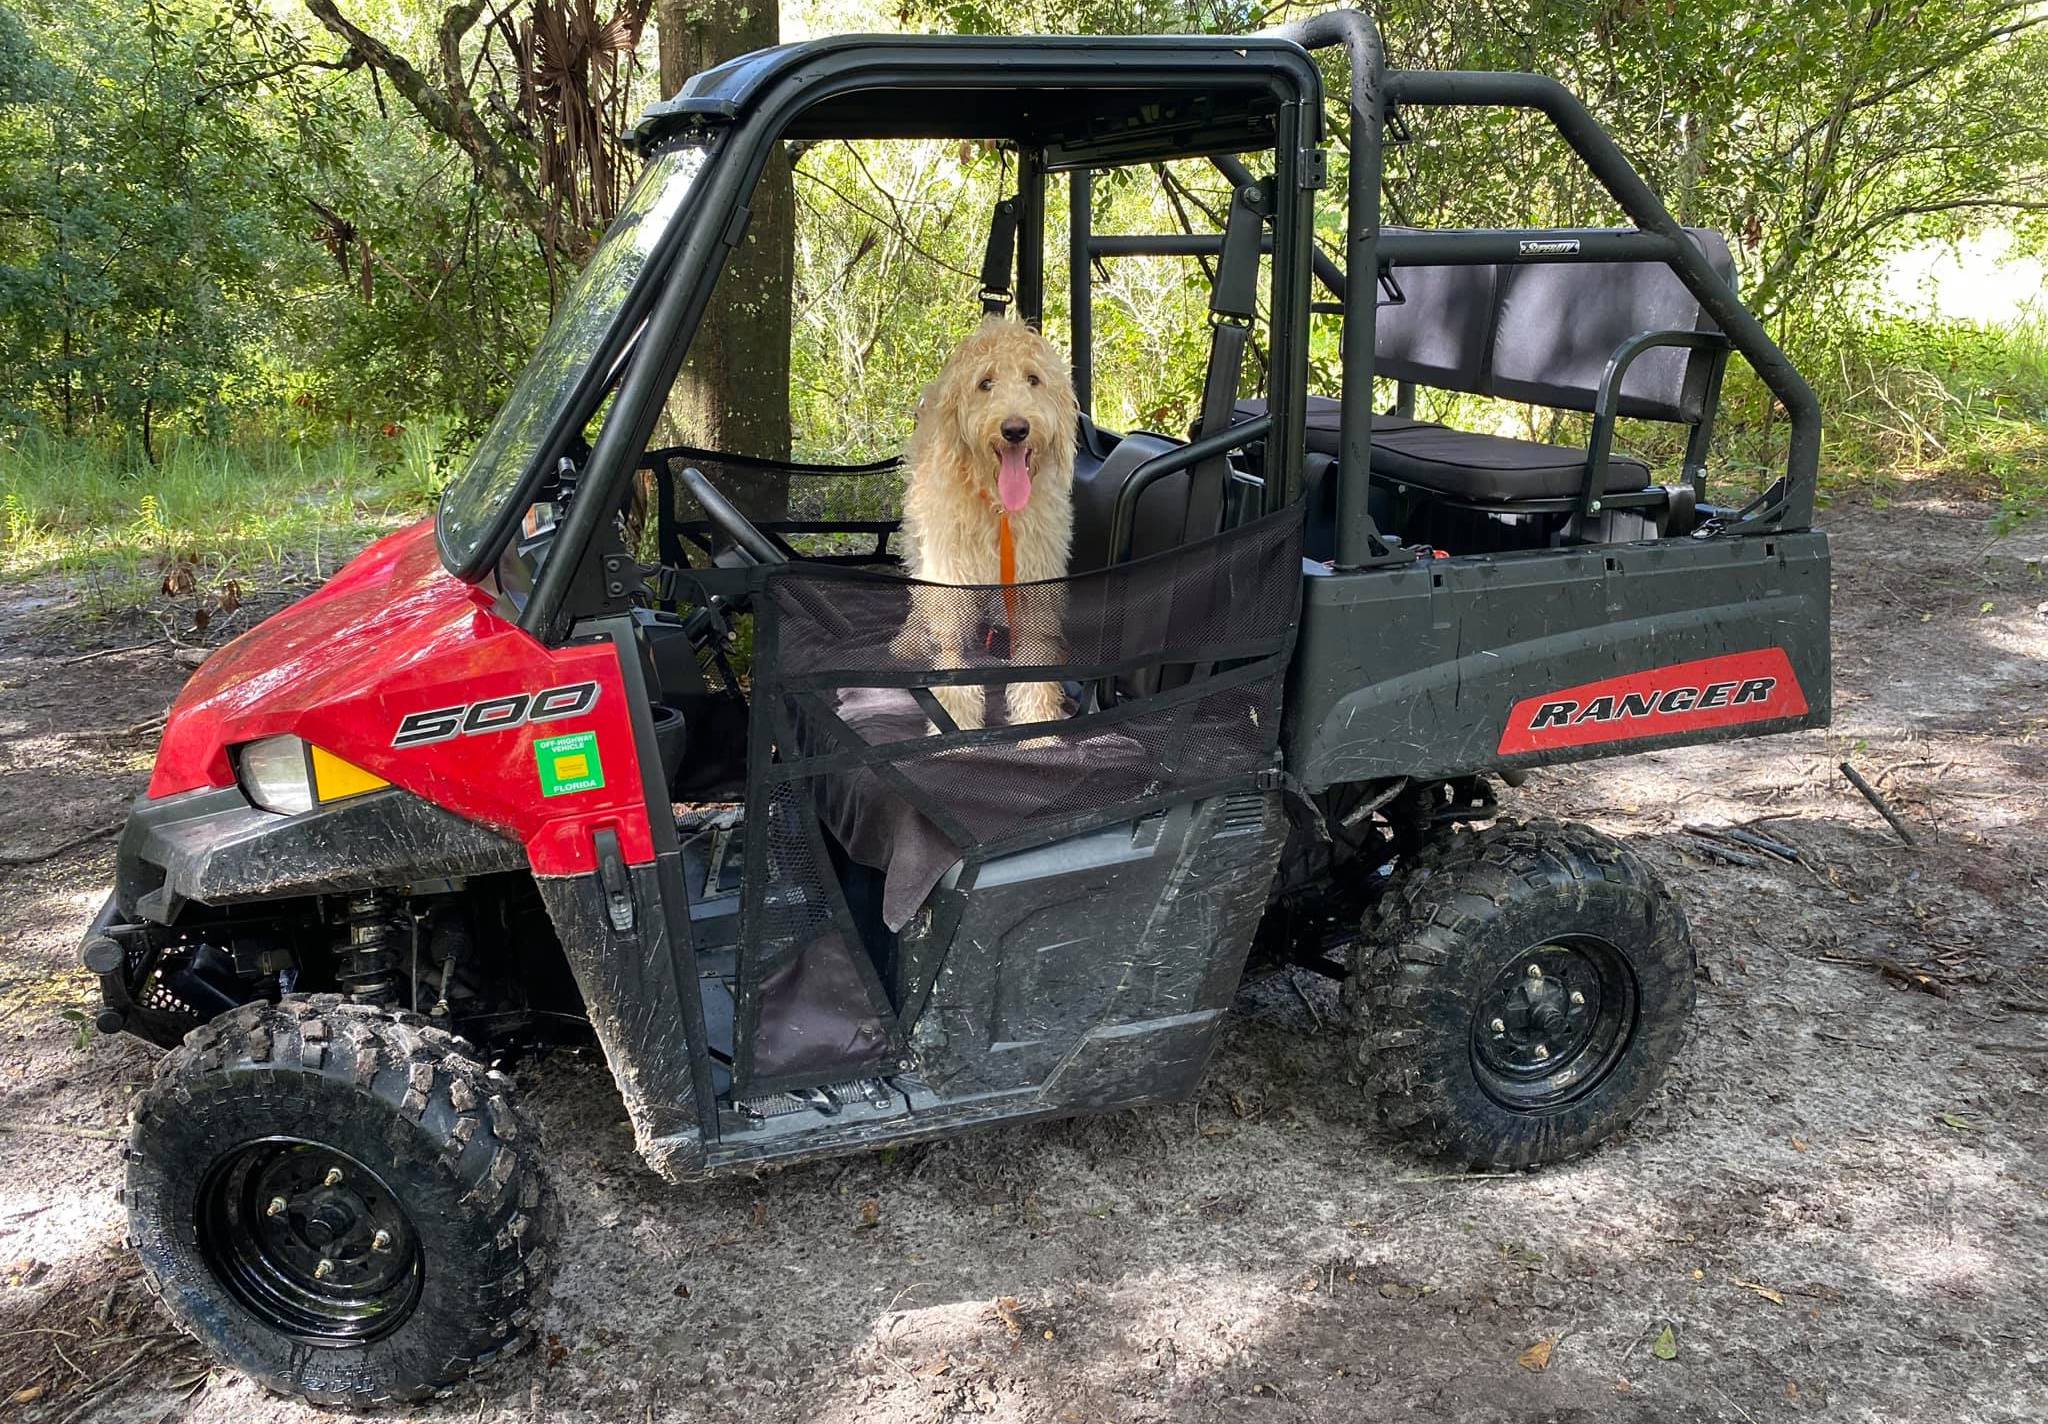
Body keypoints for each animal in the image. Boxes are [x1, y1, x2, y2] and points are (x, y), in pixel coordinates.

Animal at [901, 315, 1081, 729]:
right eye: (985, 383)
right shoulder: (950, 584)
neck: (999, 509)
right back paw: (909, 639)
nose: (1015, 429)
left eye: (1033, 379)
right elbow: (952, 660)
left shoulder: (1034, 588)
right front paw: (955, 724)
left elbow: (1035, 660)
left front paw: (1038, 726)